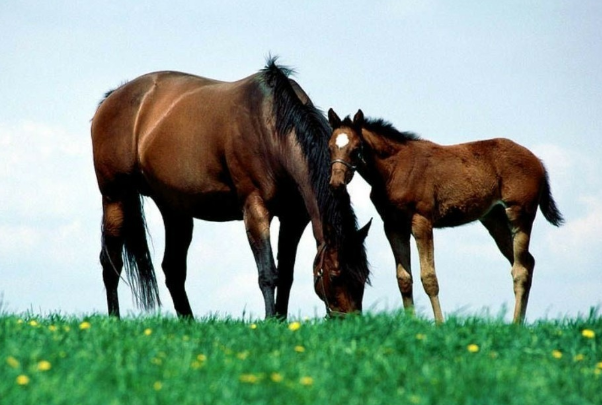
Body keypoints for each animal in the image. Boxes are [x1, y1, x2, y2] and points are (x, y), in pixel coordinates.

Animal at [89, 60, 370, 318]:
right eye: (335, 275)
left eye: (364, 275)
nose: (351, 322)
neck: (271, 128)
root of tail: (111, 98)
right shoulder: (255, 210)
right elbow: (268, 273)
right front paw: (270, 321)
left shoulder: (293, 218)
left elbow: (286, 274)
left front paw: (281, 321)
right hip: (115, 197)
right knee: (111, 262)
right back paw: (114, 319)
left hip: (175, 211)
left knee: (173, 269)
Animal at [326, 107, 560, 322]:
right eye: (330, 148)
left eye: (356, 148)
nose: (336, 183)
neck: (394, 170)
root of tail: (538, 161)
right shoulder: (393, 225)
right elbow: (404, 279)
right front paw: (411, 324)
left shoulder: (421, 221)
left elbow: (429, 277)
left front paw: (439, 324)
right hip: (494, 219)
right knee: (527, 262)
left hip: (520, 215)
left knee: (520, 270)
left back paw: (515, 325)